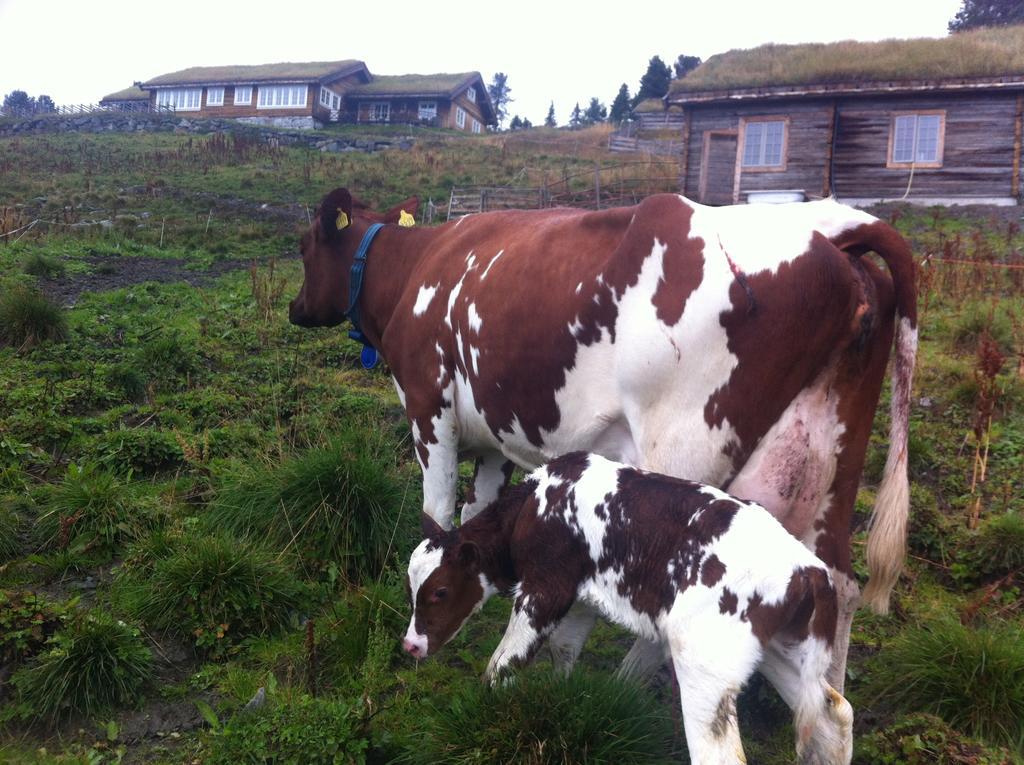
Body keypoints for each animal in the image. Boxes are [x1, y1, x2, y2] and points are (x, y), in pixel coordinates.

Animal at [290, 187, 921, 688]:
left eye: (302, 247)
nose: (296, 309)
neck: (418, 264)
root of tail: (829, 237)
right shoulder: (494, 441)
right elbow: (476, 512)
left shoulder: (430, 411)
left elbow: (438, 515)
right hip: (830, 463)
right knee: (840, 584)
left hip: (686, 458)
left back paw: (623, 688)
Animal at [403, 454, 851, 765]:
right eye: (412, 588)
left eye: (440, 591)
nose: (411, 645)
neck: (535, 506)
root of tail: (810, 571)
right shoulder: (580, 595)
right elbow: (564, 651)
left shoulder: (545, 587)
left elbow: (501, 664)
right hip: (781, 650)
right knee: (835, 714)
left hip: (706, 664)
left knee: (721, 756)